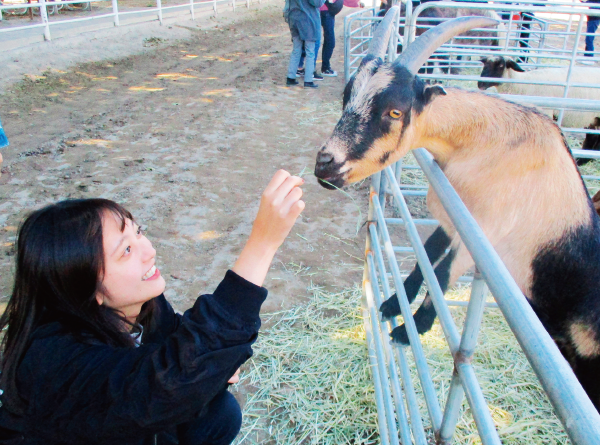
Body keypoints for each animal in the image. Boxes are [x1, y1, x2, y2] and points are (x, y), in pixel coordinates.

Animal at [312, 12, 600, 412]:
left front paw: (410, 330)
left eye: (395, 111)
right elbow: (426, 257)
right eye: (346, 97)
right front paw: (391, 304)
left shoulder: (485, 235)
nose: (325, 166)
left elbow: (444, 272)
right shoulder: (451, 217)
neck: (485, 142)